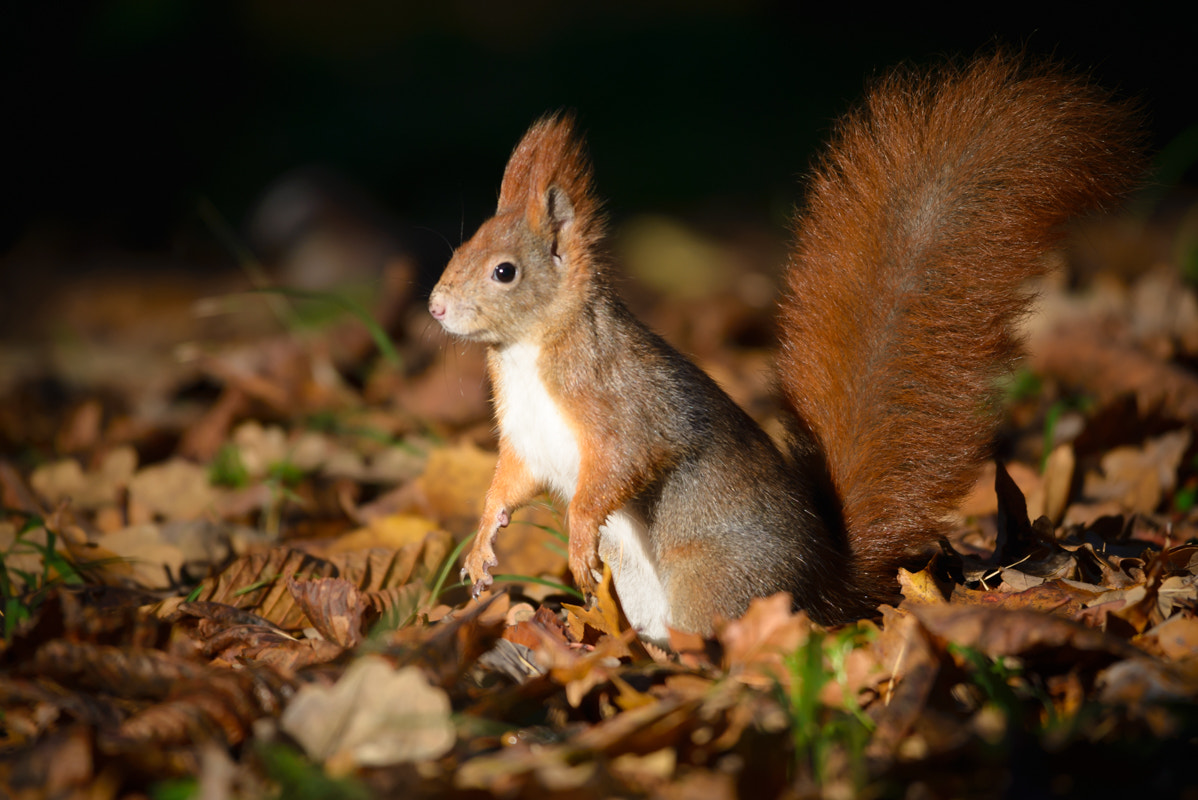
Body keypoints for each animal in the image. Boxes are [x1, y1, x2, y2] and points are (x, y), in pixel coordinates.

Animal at [427, 52, 1141, 643]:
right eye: (461, 249)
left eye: (504, 271)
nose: (434, 306)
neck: (526, 353)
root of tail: (829, 586)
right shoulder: (526, 439)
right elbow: (509, 483)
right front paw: (481, 545)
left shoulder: (621, 406)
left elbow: (619, 469)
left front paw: (577, 539)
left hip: (711, 579)